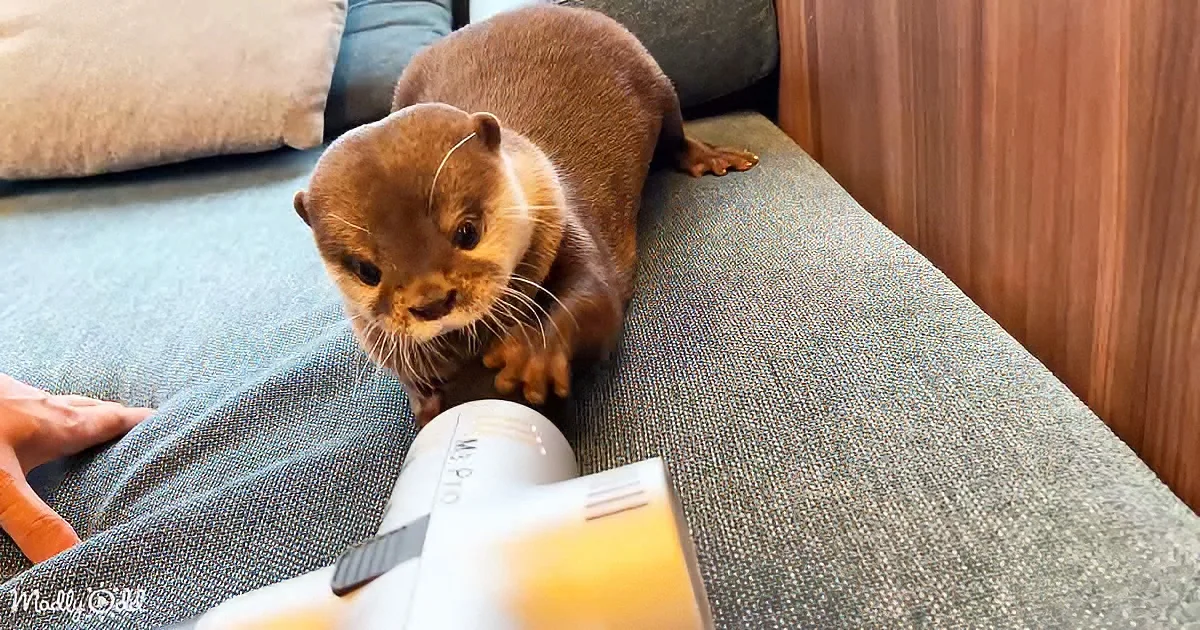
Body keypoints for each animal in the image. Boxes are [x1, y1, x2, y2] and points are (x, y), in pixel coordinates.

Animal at [293, 5, 758, 425]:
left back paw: (711, 157)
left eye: (467, 232)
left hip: (654, 77)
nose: (432, 302)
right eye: (366, 270)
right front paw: (429, 408)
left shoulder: (564, 217)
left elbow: (597, 298)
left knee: (676, 131)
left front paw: (533, 355)